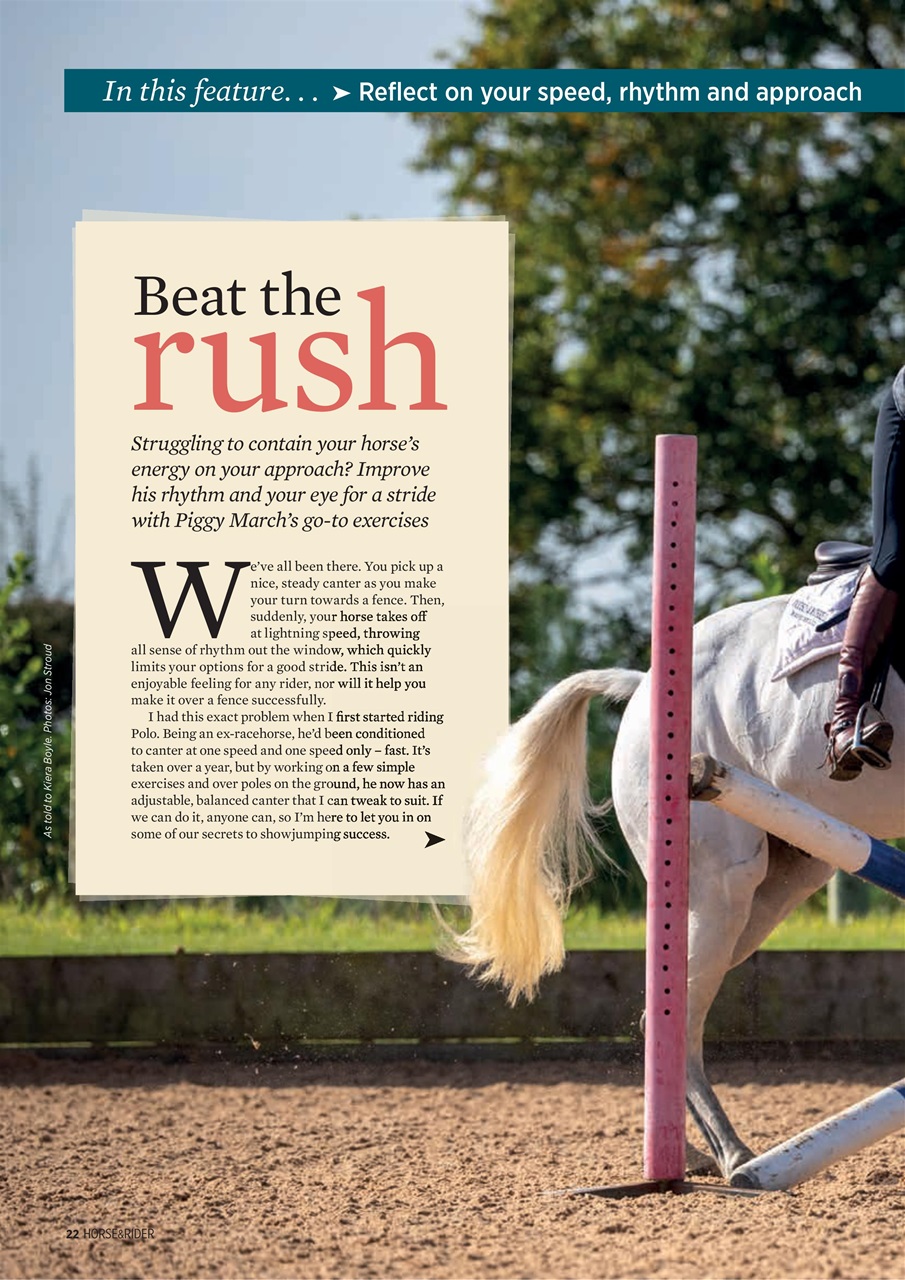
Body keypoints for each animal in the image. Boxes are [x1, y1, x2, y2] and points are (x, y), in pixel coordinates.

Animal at [450, 590, 905, 1180]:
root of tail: (643, 686)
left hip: (779, 881)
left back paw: (687, 1150)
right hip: (718, 889)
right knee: (679, 1018)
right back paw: (730, 1155)